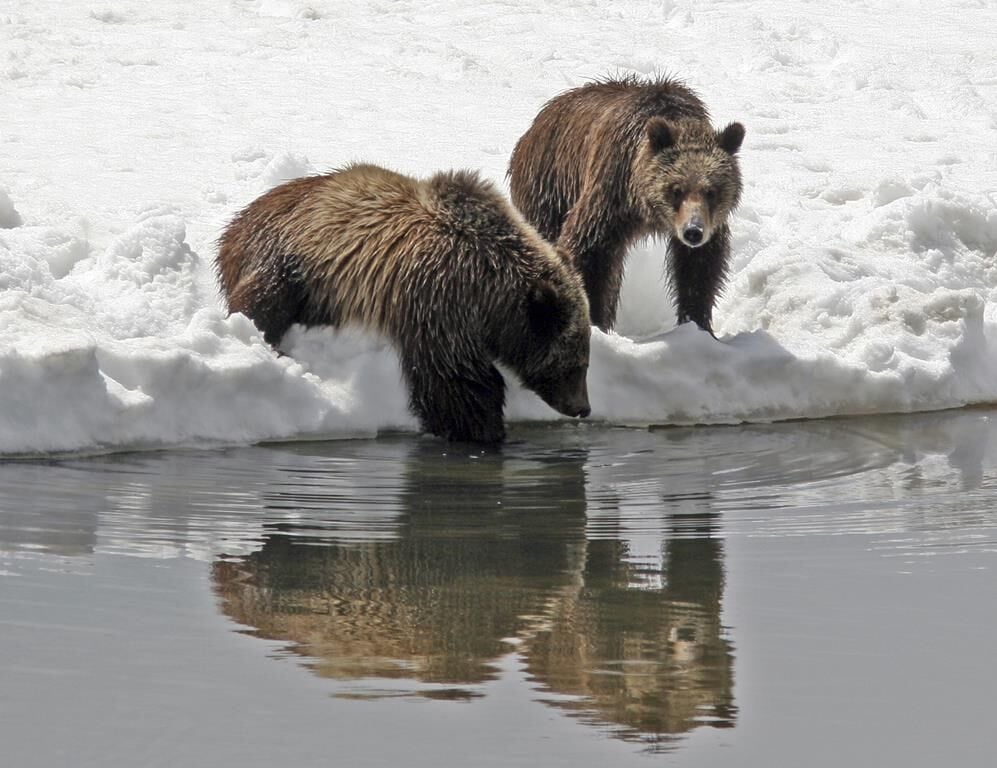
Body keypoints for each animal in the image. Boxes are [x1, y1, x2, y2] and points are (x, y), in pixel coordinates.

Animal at [216, 165, 592, 448]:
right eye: (576, 364)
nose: (582, 408)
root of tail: (236, 222)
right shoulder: (438, 301)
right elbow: (455, 379)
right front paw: (483, 430)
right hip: (291, 257)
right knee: (265, 300)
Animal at [510, 74, 744, 332]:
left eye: (711, 191)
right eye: (676, 189)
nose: (693, 231)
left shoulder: (709, 223)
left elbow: (699, 268)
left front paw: (698, 324)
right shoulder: (611, 193)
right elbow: (590, 251)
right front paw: (594, 320)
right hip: (549, 186)